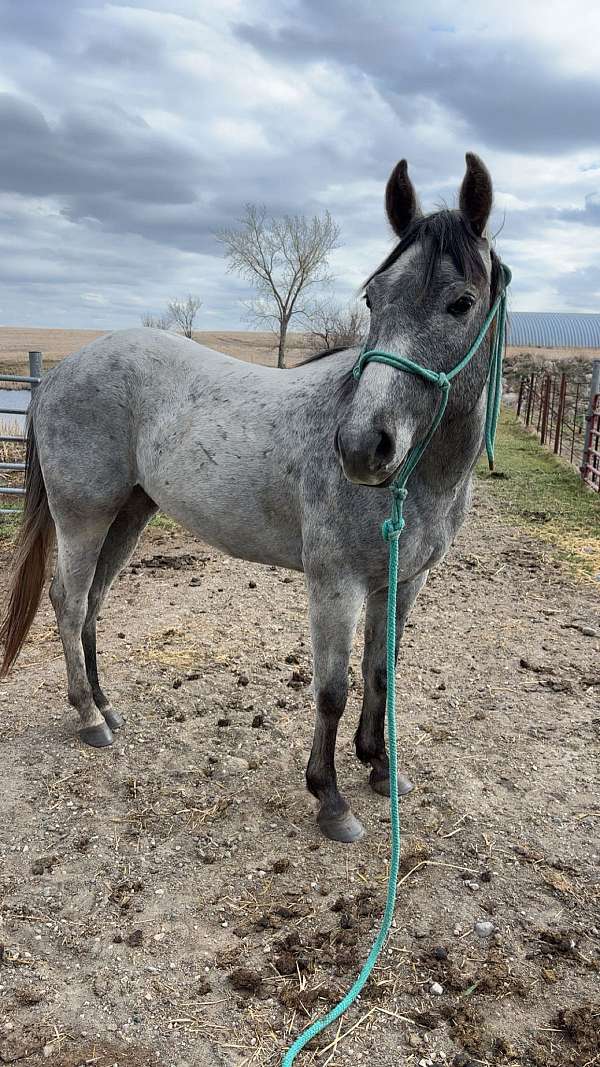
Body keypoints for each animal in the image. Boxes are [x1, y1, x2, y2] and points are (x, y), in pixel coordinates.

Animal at [1, 152, 504, 844]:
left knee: (93, 603)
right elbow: (332, 689)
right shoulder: (335, 582)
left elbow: (381, 672)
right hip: (84, 517)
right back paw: (89, 719)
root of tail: (59, 374)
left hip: (129, 514)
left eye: (462, 303)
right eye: (373, 298)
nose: (360, 448)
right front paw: (331, 800)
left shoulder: (402, 582)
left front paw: (380, 771)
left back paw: (106, 706)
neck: (420, 478)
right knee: (69, 602)